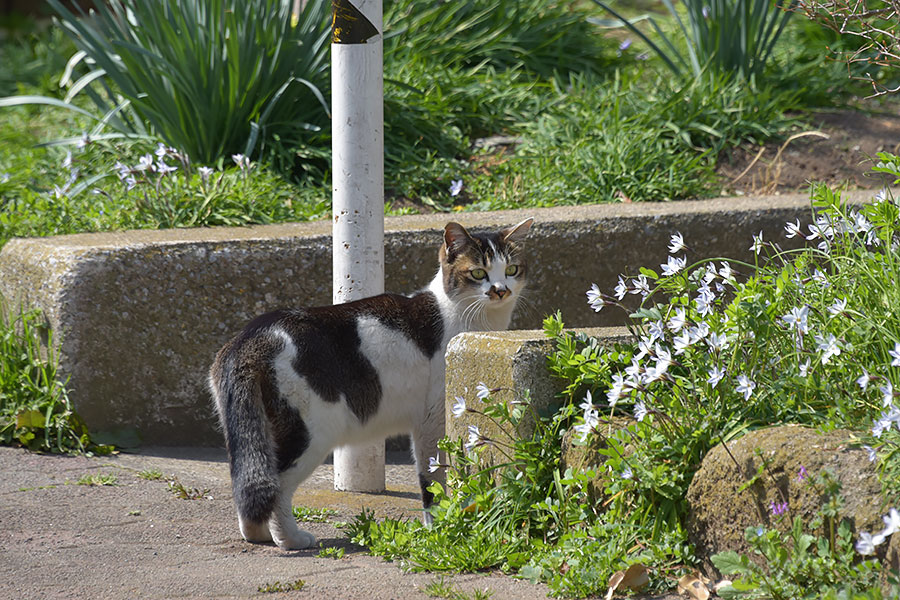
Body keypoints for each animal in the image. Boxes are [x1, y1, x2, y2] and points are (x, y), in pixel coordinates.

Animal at [209, 218, 536, 552]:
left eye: (511, 270)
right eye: (478, 273)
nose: (501, 290)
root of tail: (251, 337)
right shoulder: (431, 420)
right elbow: (432, 479)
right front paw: (439, 526)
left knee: (250, 482)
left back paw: (258, 534)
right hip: (309, 432)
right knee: (278, 485)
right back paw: (291, 539)